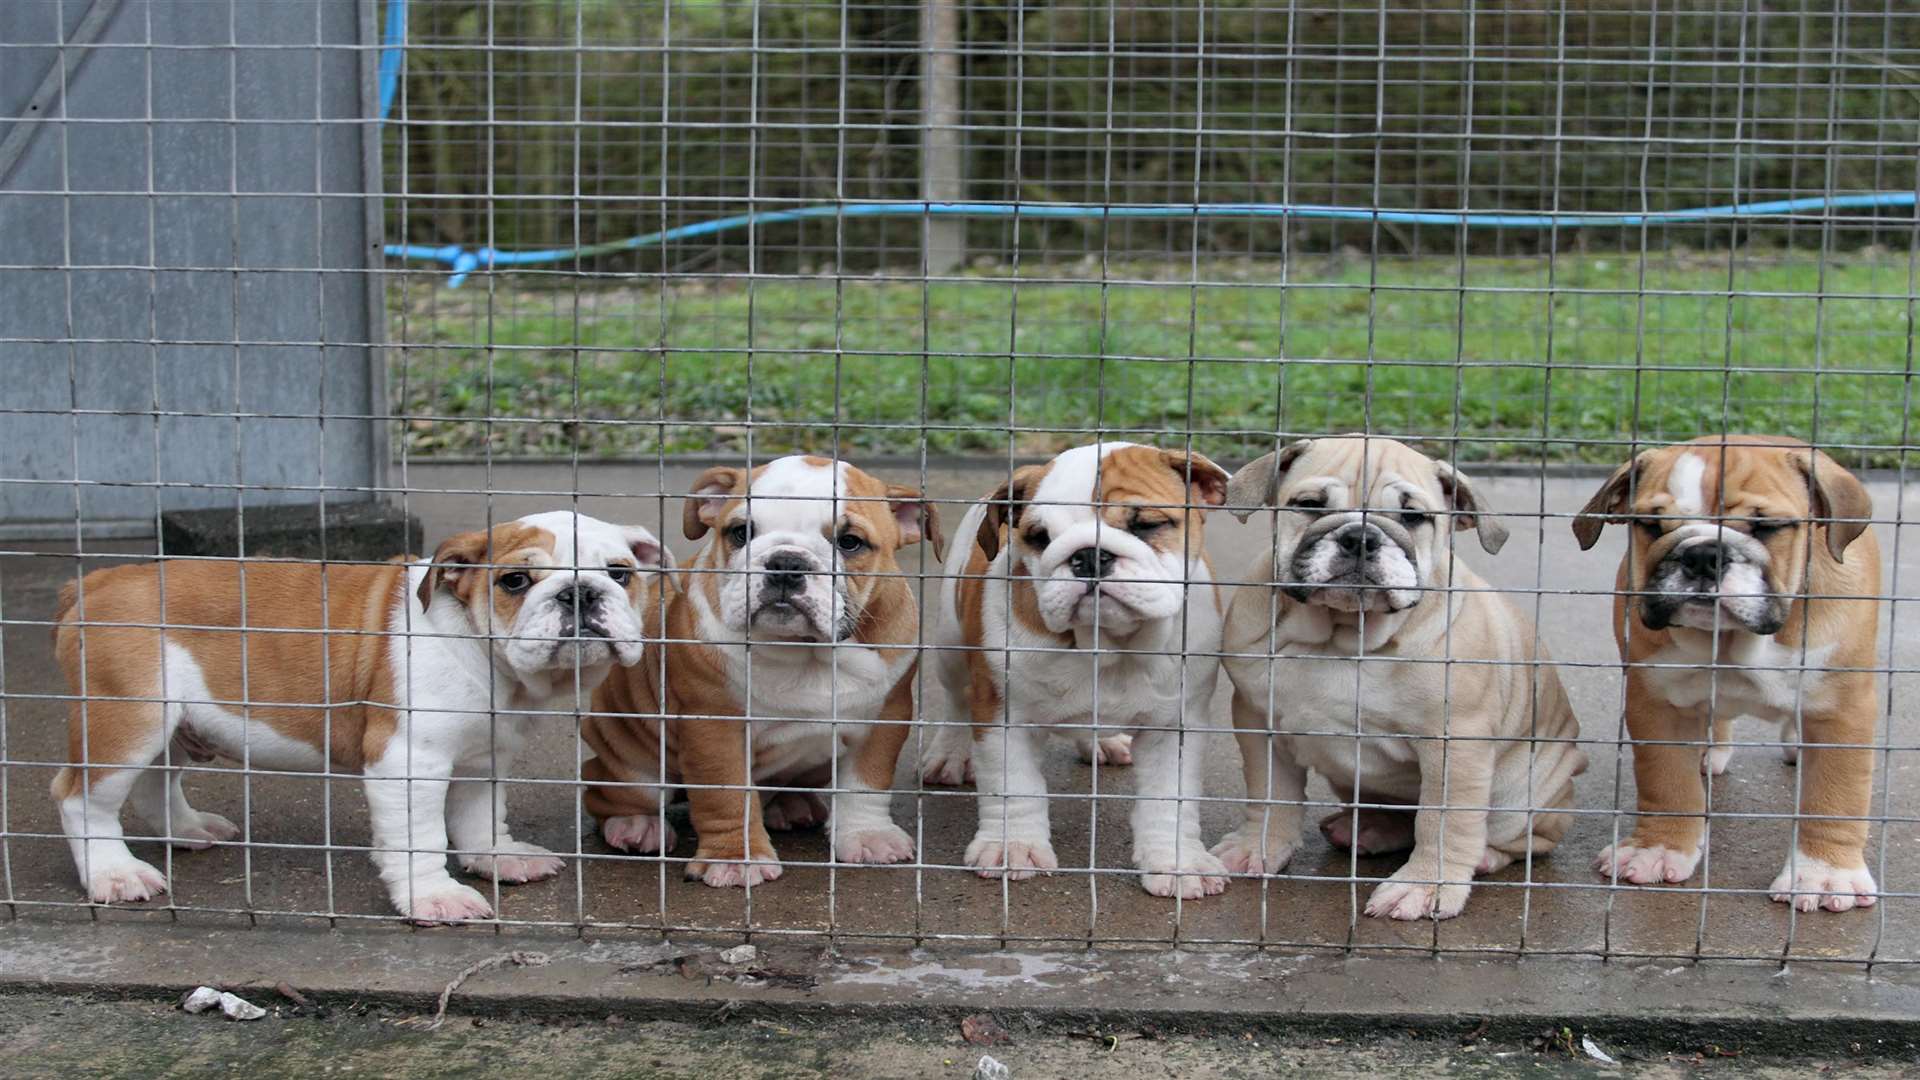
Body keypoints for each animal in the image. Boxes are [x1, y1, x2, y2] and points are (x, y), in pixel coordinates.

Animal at [52, 507, 668, 922]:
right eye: (515, 581)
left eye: (620, 574)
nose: (581, 593)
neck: (488, 657)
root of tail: (93, 583)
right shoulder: (410, 761)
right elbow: (421, 837)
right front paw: (434, 896)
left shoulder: (483, 757)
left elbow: (478, 817)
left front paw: (498, 858)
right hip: (128, 719)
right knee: (82, 799)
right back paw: (114, 872)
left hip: (175, 724)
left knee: (156, 782)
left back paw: (187, 829)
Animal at [583, 453, 944, 883]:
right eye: (740, 533)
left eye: (850, 542)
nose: (786, 561)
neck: (806, 652)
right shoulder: (714, 727)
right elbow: (727, 795)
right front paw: (735, 859)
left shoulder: (885, 716)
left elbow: (867, 781)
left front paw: (869, 835)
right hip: (632, 761)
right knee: (606, 788)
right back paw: (638, 825)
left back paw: (791, 805)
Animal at [921, 441, 1236, 895]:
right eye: (1039, 538)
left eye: (1146, 525)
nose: (1089, 555)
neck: (1106, 644)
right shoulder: (1002, 715)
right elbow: (1012, 784)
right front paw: (1013, 847)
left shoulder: (1174, 725)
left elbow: (1169, 798)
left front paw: (1177, 862)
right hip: (950, 644)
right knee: (956, 699)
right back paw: (948, 755)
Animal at [1205, 434, 1582, 914]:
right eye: (1309, 505)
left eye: (1414, 516)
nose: (1360, 537)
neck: (1343, 635)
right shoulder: (1259, 724)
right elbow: (1270, 794)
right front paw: (1258, 846)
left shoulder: (1455, 745)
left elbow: (1444, 820)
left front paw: (1426, 886)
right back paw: (1370, 828)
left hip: (1524, 793)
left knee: (1525, 838)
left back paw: (1484, 856)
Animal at [1574, 428, 1889, 907]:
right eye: (1652, 525)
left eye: (1768, 527)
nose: (1704, 554)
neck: (1732, 640)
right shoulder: (1655, 701)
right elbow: (1666, 780)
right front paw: (1659, 848)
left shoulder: (1843, 710)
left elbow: (1836, 793)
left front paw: (1824, 874)